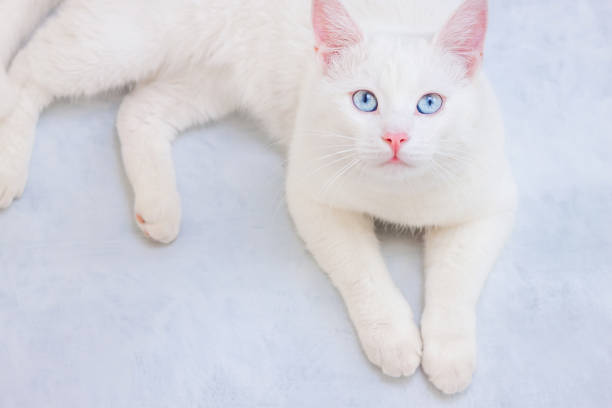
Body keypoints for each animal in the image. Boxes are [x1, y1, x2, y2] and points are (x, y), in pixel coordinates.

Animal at [0, 0, 516, 394]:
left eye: (430, 104)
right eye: (364, 101)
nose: (395, 138)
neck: (397, 198)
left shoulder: (485, 208)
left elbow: (454, 285)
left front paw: (449, 357)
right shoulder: (313, 197)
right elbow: (364, 275)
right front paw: (393, 339)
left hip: (213, 78)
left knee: (137, 109)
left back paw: (160, 209)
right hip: (122, 40)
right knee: (27, 70)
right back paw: (8, 167)